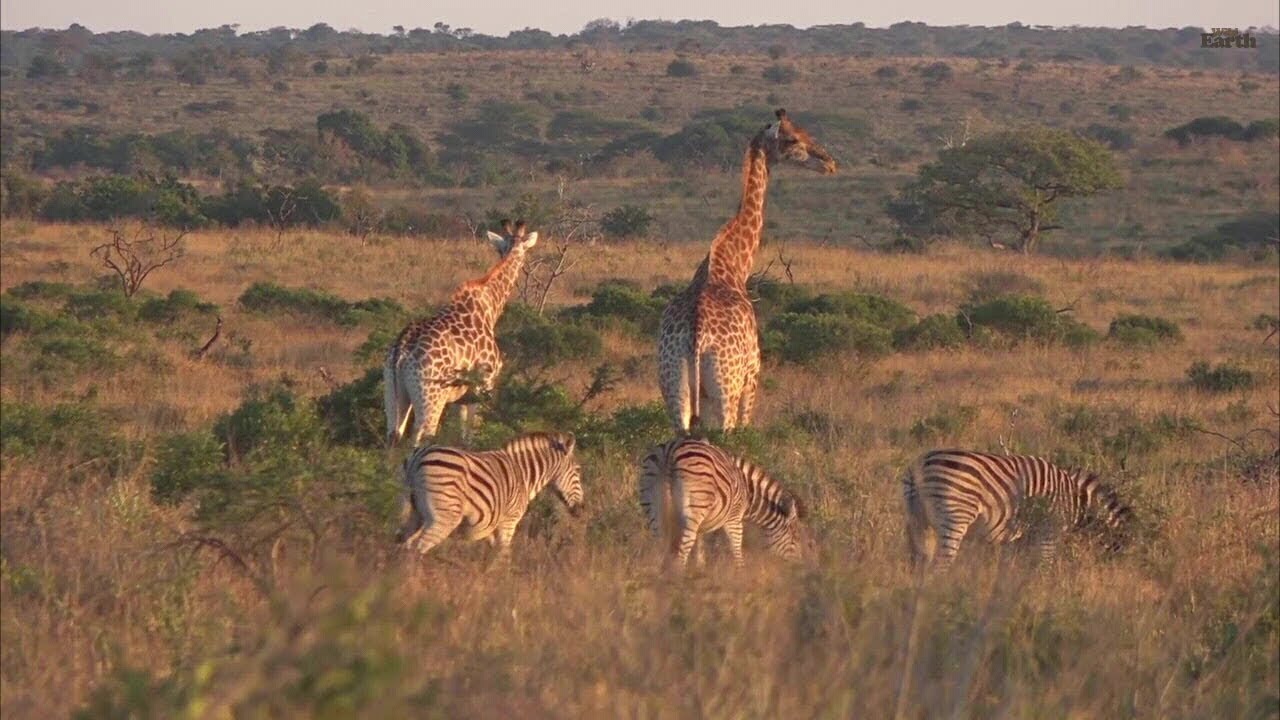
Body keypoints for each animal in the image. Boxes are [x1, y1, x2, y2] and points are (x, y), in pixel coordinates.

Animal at [381, 217, 537, 448]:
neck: (490, 306)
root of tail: (401, 350)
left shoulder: (460, 398)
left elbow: (463, 436)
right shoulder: (484, 386)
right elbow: (472, 435)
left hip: (393, 393)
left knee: (393, 435)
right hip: (431, 397)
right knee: (420, 436)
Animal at [394, 427, 586, 558]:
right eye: (577, 471)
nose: (580, 510)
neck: (523, 476)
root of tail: (419, 455)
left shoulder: (490, 528)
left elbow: (491, 559)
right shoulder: (509, 522)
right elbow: (503, 558)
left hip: (415, 514)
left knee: (403, 545)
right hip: (445, 516)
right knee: (418, 548)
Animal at [637, 435, 803, 568]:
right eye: (794, 538)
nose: (797, 567)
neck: (748, 492)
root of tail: (670, 451)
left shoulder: (703, 524)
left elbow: (700, 547)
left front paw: (700, 569)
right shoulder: (734, 519)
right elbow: (736, 549)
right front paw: (740, 574)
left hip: (653, 506)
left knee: (660, 545)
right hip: (694, 508)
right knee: (683, 549)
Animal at [660, 106, 839, 430]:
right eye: (793, 139)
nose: (829, 163)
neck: (732, 264)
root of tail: (694, 338)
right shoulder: (752, 378)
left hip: (674, 392)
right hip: (726, 394)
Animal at [896, 445, 1136, 568]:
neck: (1076, 500)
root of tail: (918, 467)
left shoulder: (1019, 538)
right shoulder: (1047, 531)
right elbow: (1045, 568)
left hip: (917, 519)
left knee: (920, 562)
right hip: (956, 517)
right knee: (941, 564)